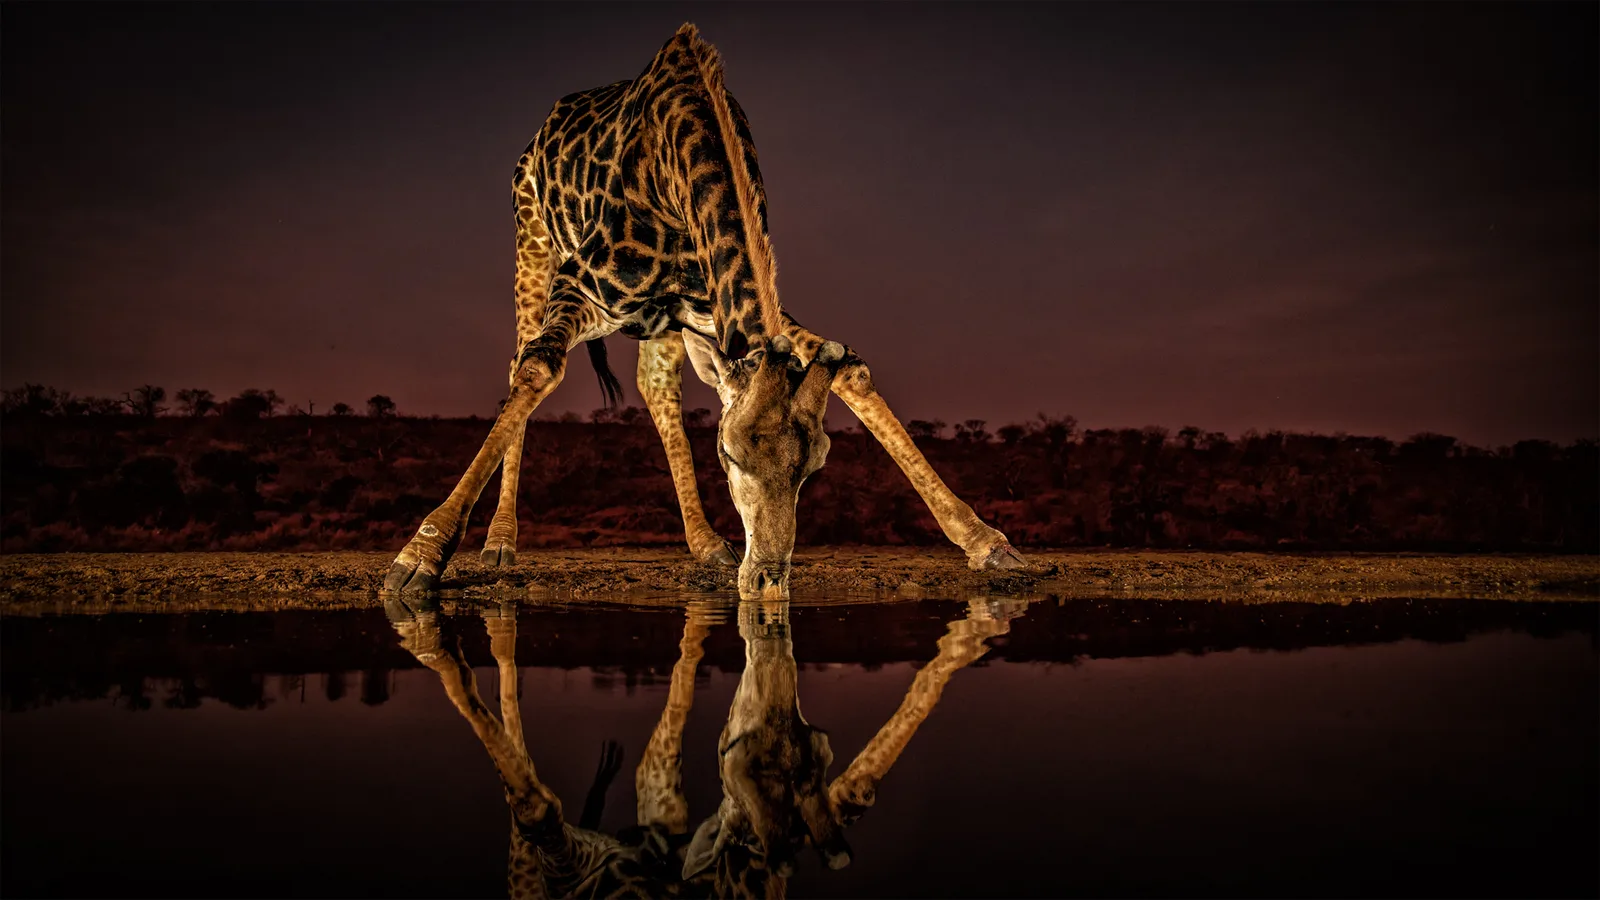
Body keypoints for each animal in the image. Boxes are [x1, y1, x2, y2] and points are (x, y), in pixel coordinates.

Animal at [383, 23, 1026, 599]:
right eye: (729, 454)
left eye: (816, 464)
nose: (767, 581)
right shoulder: (583, 282)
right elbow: (540, 369)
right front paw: (419, 558)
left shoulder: (712, 312)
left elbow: (850, 370)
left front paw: (987, 543)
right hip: (534, 244)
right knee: (522, 358)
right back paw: (499, 543)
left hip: (667, 324)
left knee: (656, 386)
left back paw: (708, 544)